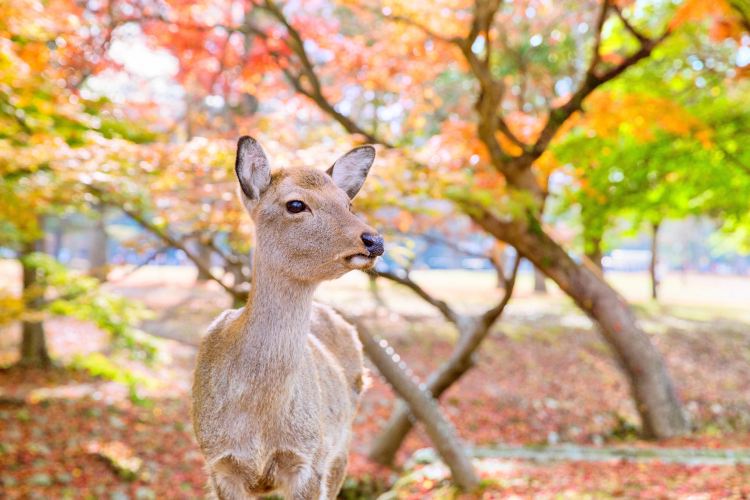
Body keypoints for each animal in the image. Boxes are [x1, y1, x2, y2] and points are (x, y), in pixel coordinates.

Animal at [194, 137, 384, 500]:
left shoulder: (309, 460)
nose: (374, 240)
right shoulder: (218, 463)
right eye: (296, 204)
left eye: (348, 204)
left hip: (341, 448)